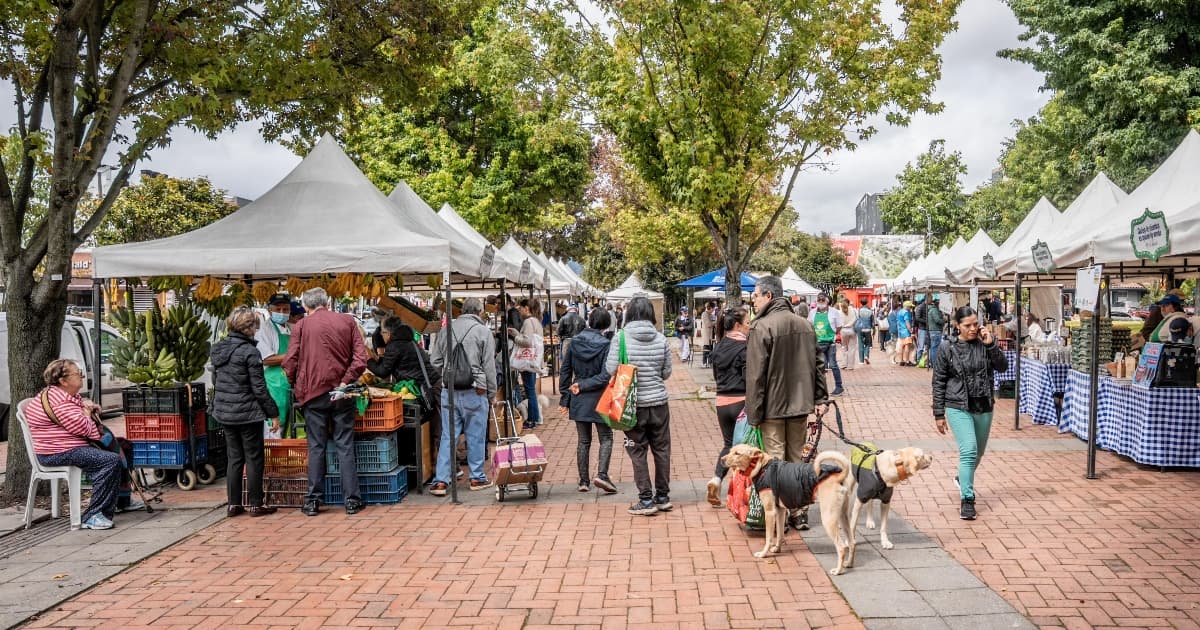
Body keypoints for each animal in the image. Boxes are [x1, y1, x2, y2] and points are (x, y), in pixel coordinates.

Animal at [722, 444, 856, 574]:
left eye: (737, 453)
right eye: (731, 451)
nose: (722, 460)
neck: (762, 467)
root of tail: (839, 476)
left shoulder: (770, 512)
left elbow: (768, 537)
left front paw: (764, 554)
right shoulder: (780, 511)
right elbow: (780, 534)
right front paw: (777, 549)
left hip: (828, 518)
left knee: (842, 547)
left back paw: (838, 570)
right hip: (843, 516)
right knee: (852, 542)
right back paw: (848, 564)